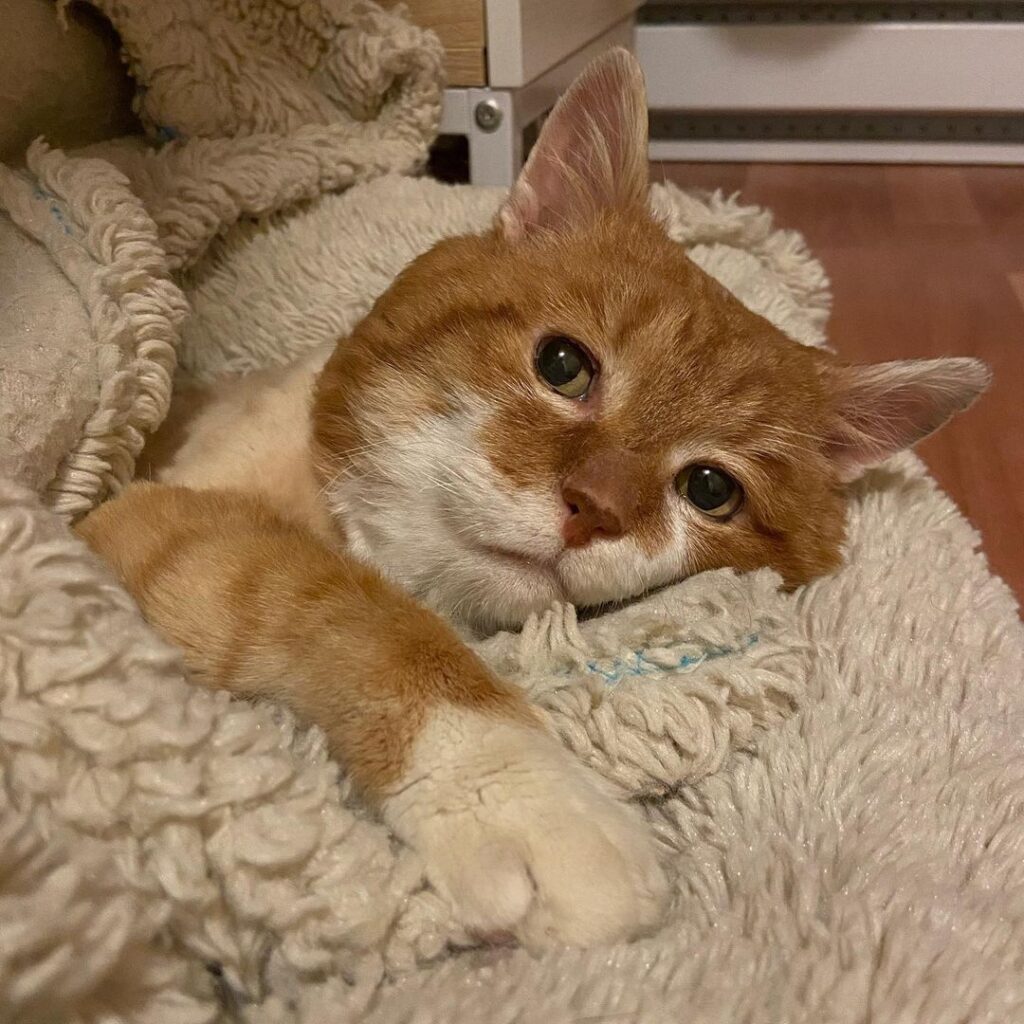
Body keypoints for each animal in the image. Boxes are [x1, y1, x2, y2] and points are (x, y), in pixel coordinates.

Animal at [75, 51, 987, 950]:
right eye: (563, 365)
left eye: (710, 489)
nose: (593, 507)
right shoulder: (146, 523)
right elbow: (355, 610)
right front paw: (529, 797)